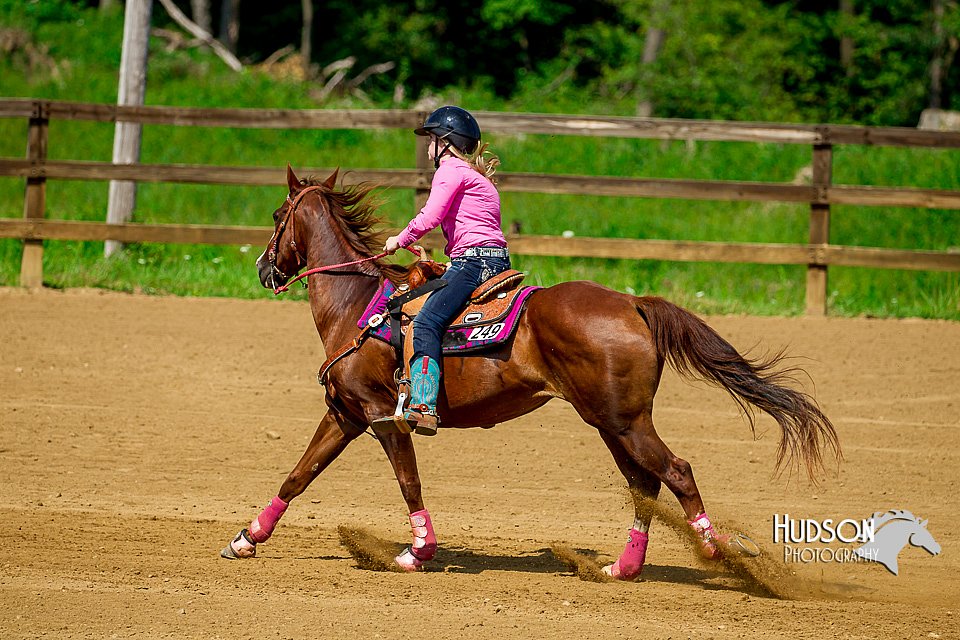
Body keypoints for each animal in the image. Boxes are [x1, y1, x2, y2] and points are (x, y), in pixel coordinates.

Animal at [223, 166, 840, 580]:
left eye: (277, 216)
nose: (263, 269)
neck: (356, 308)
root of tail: (632, 302)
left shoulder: (382, 417)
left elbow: (408, 481)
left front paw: (418, 551)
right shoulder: (345, 414)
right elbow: (298, 475)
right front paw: (246, 539)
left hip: (624, 420)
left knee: (677, 471)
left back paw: (715, 553)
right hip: (611, 421)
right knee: (643, 483)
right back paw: (622, 568)